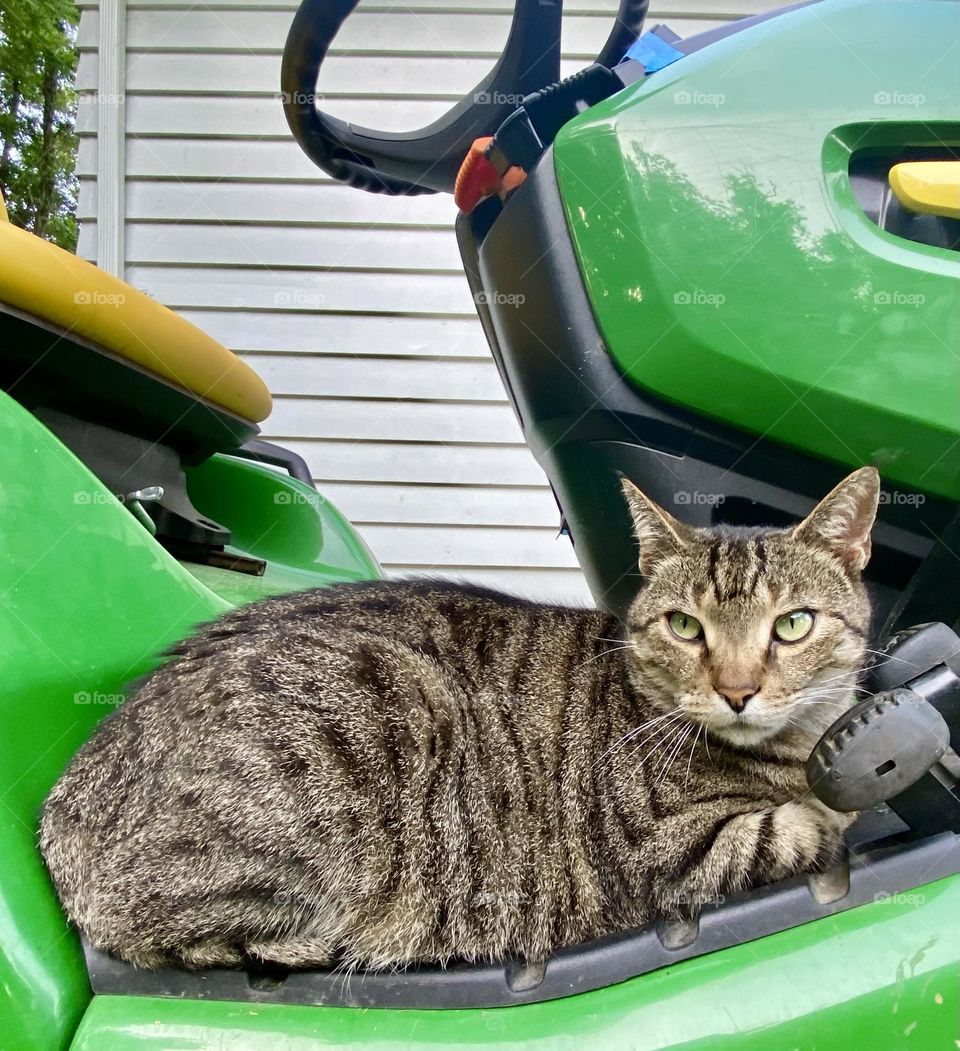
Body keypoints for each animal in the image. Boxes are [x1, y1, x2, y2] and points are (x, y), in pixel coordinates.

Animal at [41, 464, 879, 971]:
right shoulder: (668, 857)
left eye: (793, 625)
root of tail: (61, 807)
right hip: (388, 708)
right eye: (684, 627)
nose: (738, 688)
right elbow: (800, 826)